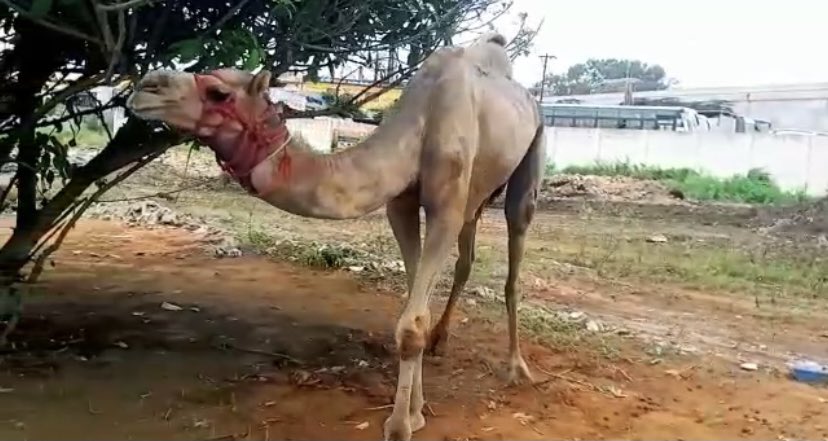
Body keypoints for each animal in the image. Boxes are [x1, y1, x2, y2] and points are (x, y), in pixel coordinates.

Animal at [126, 32, 546, 441]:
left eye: (219, 93)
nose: (145, 87)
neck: (420, 123)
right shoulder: (401, 204)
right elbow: (415, 307)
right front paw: (416, 411)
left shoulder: (446, 206)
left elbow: (412, 324)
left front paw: (399, 425)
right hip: (478, 193)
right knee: (466, 257)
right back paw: (443, 340)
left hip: (530, 157)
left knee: (514, 253)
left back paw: (517, 368)